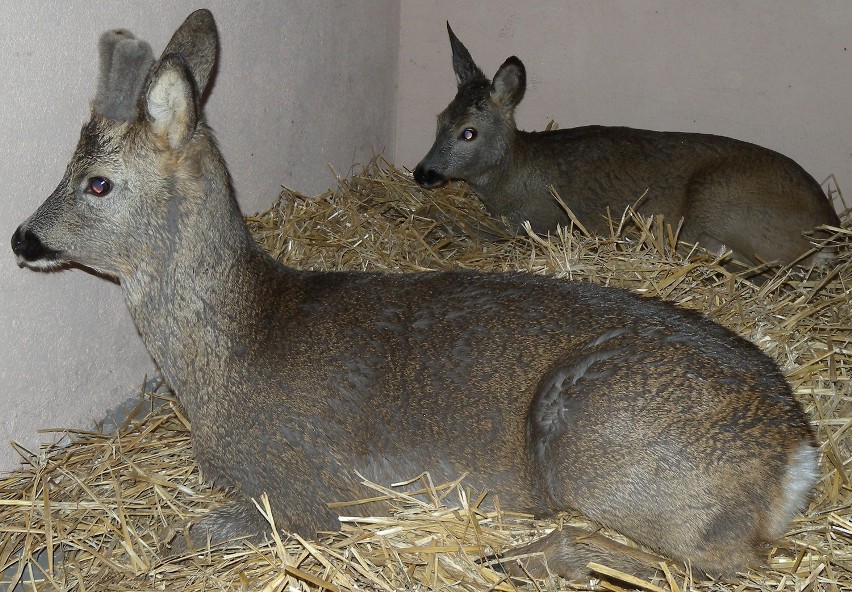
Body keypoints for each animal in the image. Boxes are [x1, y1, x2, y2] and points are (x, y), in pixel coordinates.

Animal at [412, 23, 840, 266]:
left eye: (469, 132)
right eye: (439, 120)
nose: (422, 173)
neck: (513, 179)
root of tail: (831, 228)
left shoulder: (540, 222)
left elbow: (470, 228)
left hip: (723, 208)